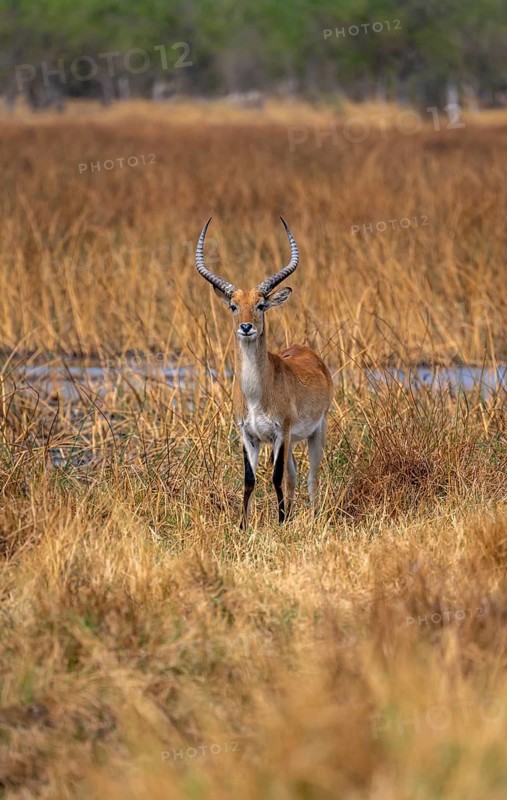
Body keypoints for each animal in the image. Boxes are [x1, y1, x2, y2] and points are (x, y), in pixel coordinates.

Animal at [195, 217, 333, 528]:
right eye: (233, 305)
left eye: (260, 305)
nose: (246, 327)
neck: (257, 394)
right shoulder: (248, 435)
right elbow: (250, 479)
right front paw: (243, 526)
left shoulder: (280, 432)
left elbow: (275, 477)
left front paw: (279, 522)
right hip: (292, 441)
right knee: (293, 476)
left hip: (315, 432)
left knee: (311, 478)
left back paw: (312, 517)